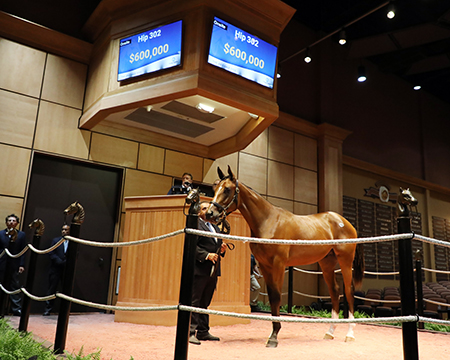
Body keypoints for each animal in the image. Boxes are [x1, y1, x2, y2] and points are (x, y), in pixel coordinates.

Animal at [206, 167, 364, 348]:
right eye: (214, 189)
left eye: (227, 189)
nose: (210, 213)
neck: (268, 221)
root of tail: (346, 222)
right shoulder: (265, 266)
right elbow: (272, 297)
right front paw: (273, 334)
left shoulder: (279, 264)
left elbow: (276, 296)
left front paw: (274, 337)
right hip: (327, 263)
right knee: (334, 291)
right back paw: (330, 332)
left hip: (345, 260)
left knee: (348, 290)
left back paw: (350, 334)